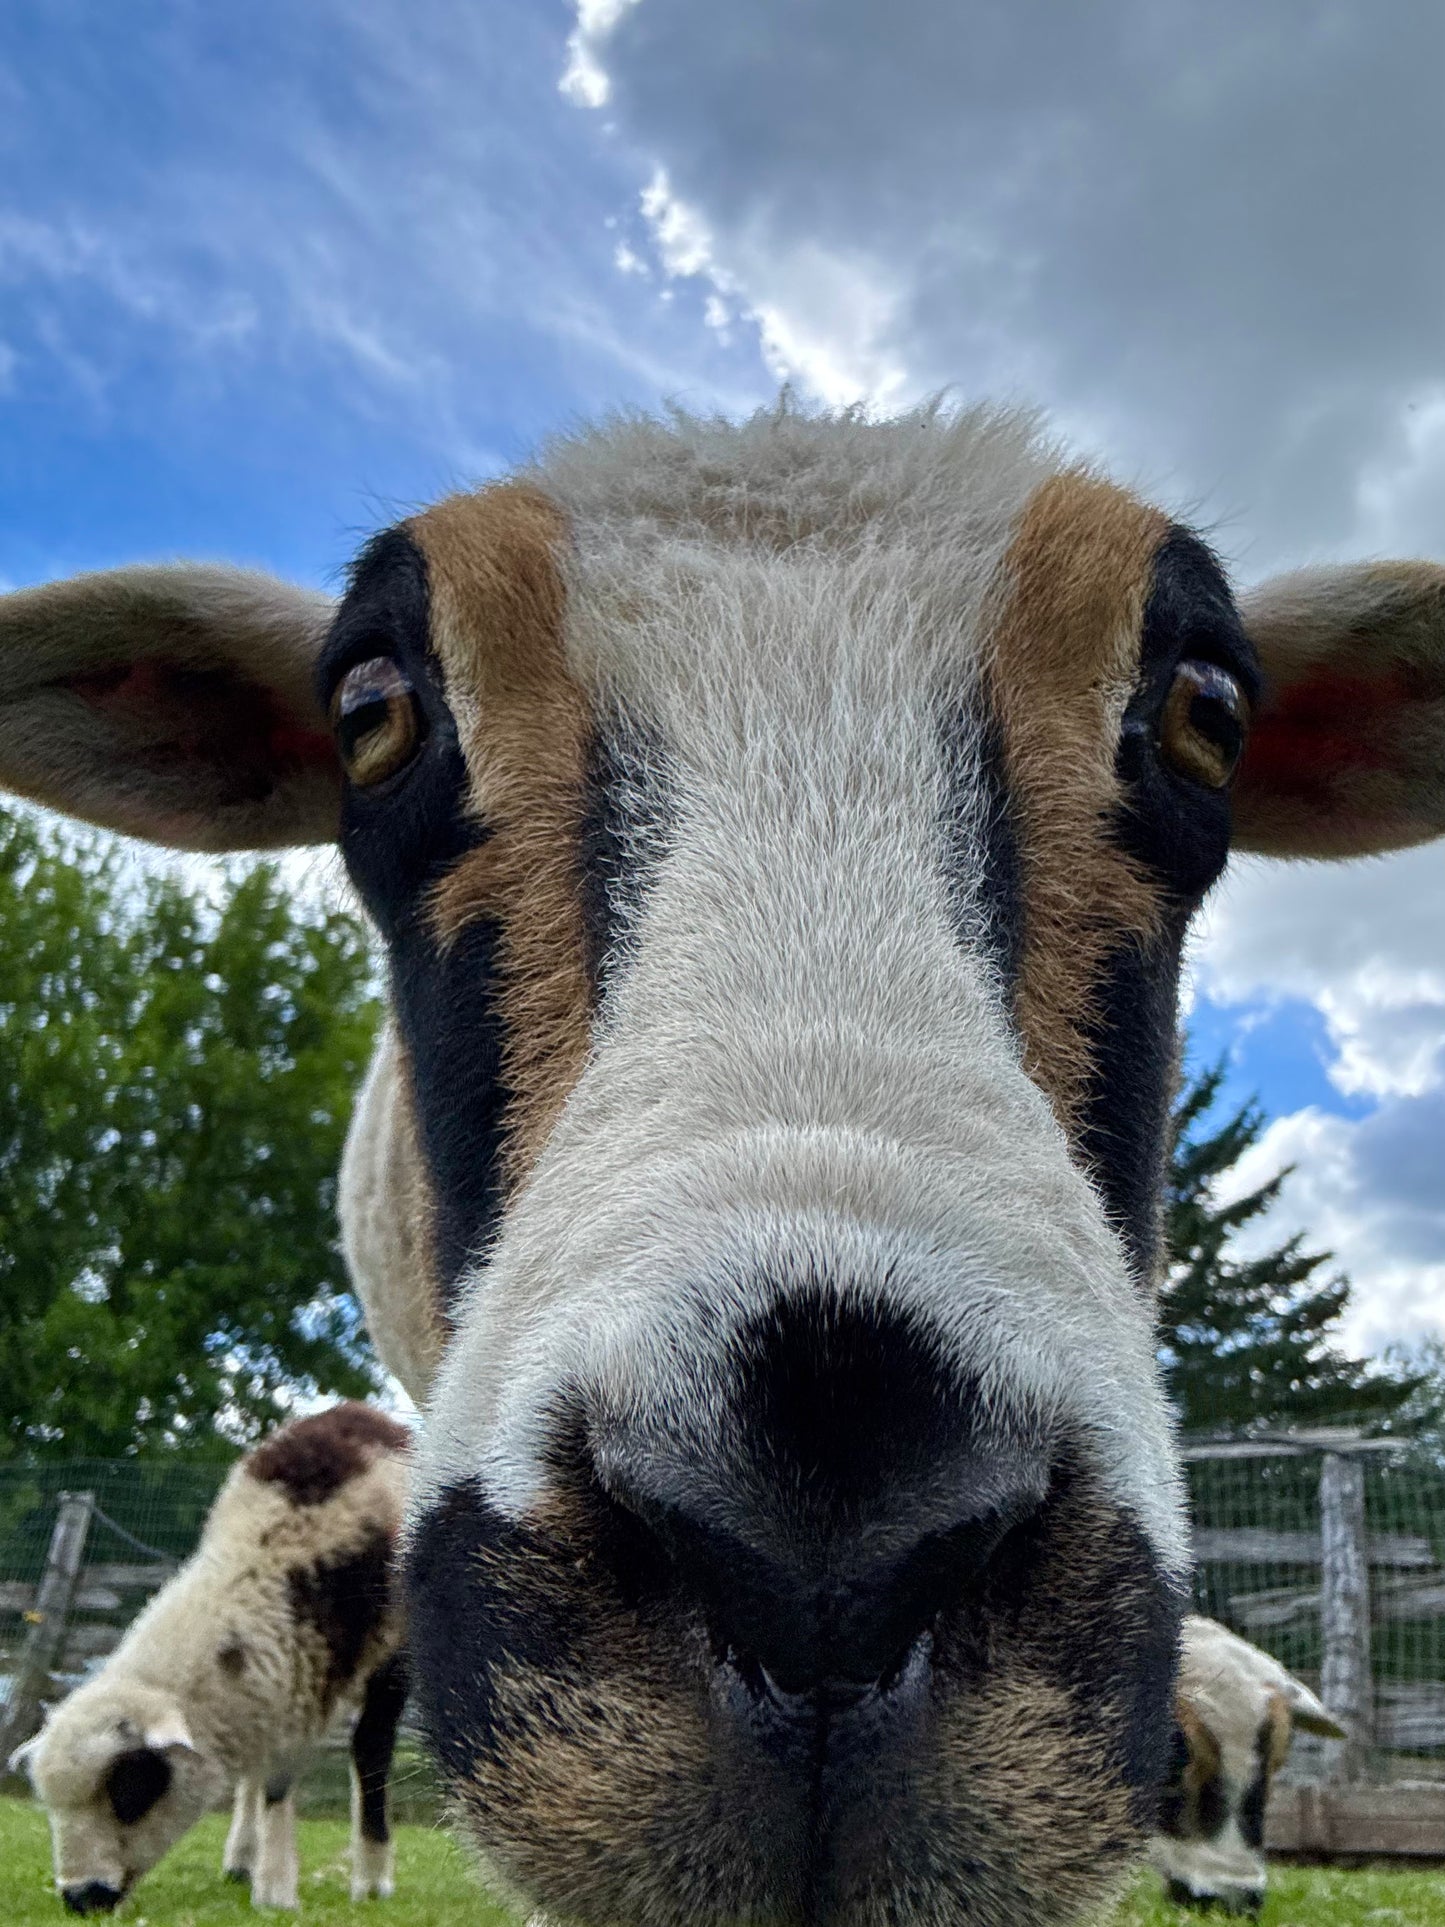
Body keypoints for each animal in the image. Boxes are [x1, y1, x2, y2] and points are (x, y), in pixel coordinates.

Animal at [13, 1402, 411, 1913]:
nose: (82, 1899)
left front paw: (348, 1883)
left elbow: (368, 1751)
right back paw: (242, 1858)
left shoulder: (379, 1653)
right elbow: (272, 1770)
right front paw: (272, 1878)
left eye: (131, 1789)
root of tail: (363, 1412)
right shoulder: (289, 1667)